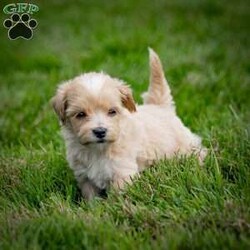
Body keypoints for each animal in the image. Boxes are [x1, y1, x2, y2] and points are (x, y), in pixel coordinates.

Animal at [51, 49, 207, 200]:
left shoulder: (122, 173)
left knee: (199, 152)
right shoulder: (84, 177)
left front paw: (115, 206)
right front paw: (92, 206)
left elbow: (117, 196)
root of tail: (161, 107)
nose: (100, 131)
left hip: (183, 147)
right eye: (80, 114)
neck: (99, 150)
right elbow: (90, 196)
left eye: (112, 111)